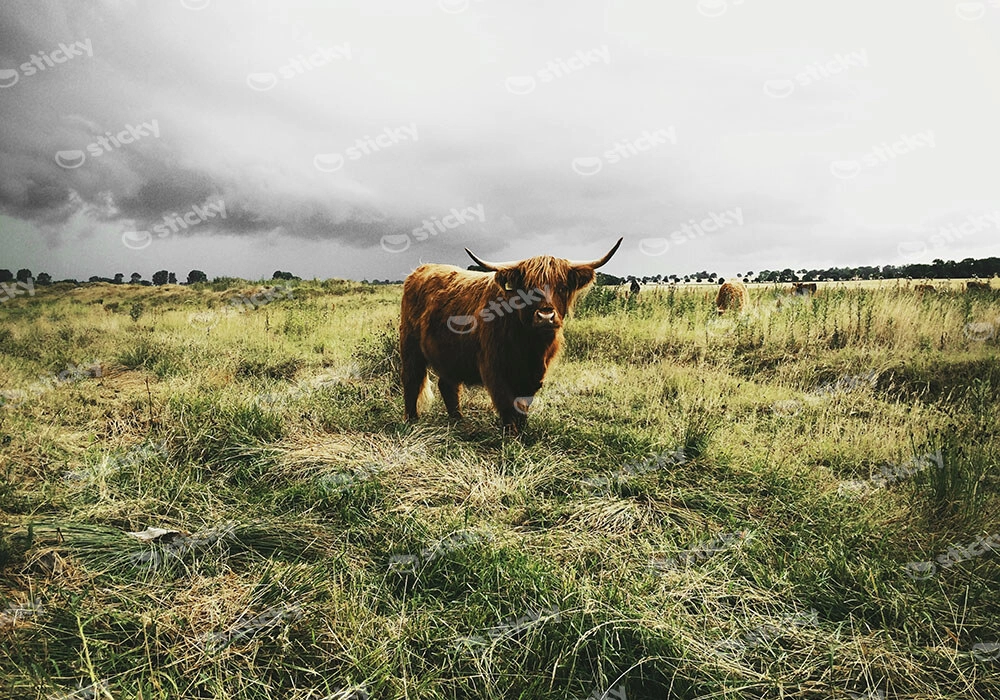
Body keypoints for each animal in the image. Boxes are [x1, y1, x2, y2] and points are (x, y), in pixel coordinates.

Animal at [399, 238, 623, 435]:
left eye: (562, 286)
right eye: (528, 289)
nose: (545, 316)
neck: (530, 346)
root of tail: (420, 270)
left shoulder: (534, 375)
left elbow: (523, 404)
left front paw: (522, 433)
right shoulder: (494, 368)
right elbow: (506, 403)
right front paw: (511, 436)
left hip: (450, 354)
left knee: (448, 385)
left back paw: (458, 421)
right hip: (410, 346)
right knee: (411, 379)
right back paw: (412, 421)